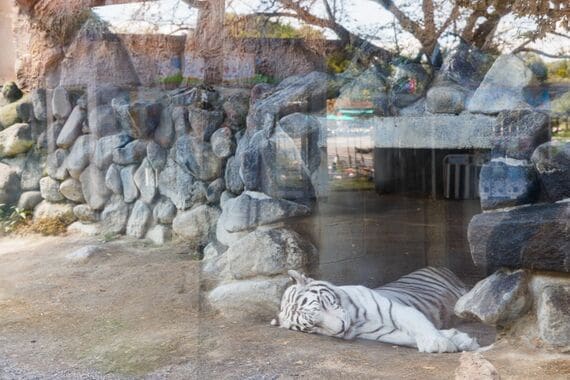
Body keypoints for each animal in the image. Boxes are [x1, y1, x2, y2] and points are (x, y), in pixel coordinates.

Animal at [270, 268, 480, 354]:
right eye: (314, 325)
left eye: (321, 304)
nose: (341, 328)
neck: (354, 319)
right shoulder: (382, 332)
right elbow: (407, 337)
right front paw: (458, 339)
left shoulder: (398, 309)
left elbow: (420, 325)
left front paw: (438, 343)